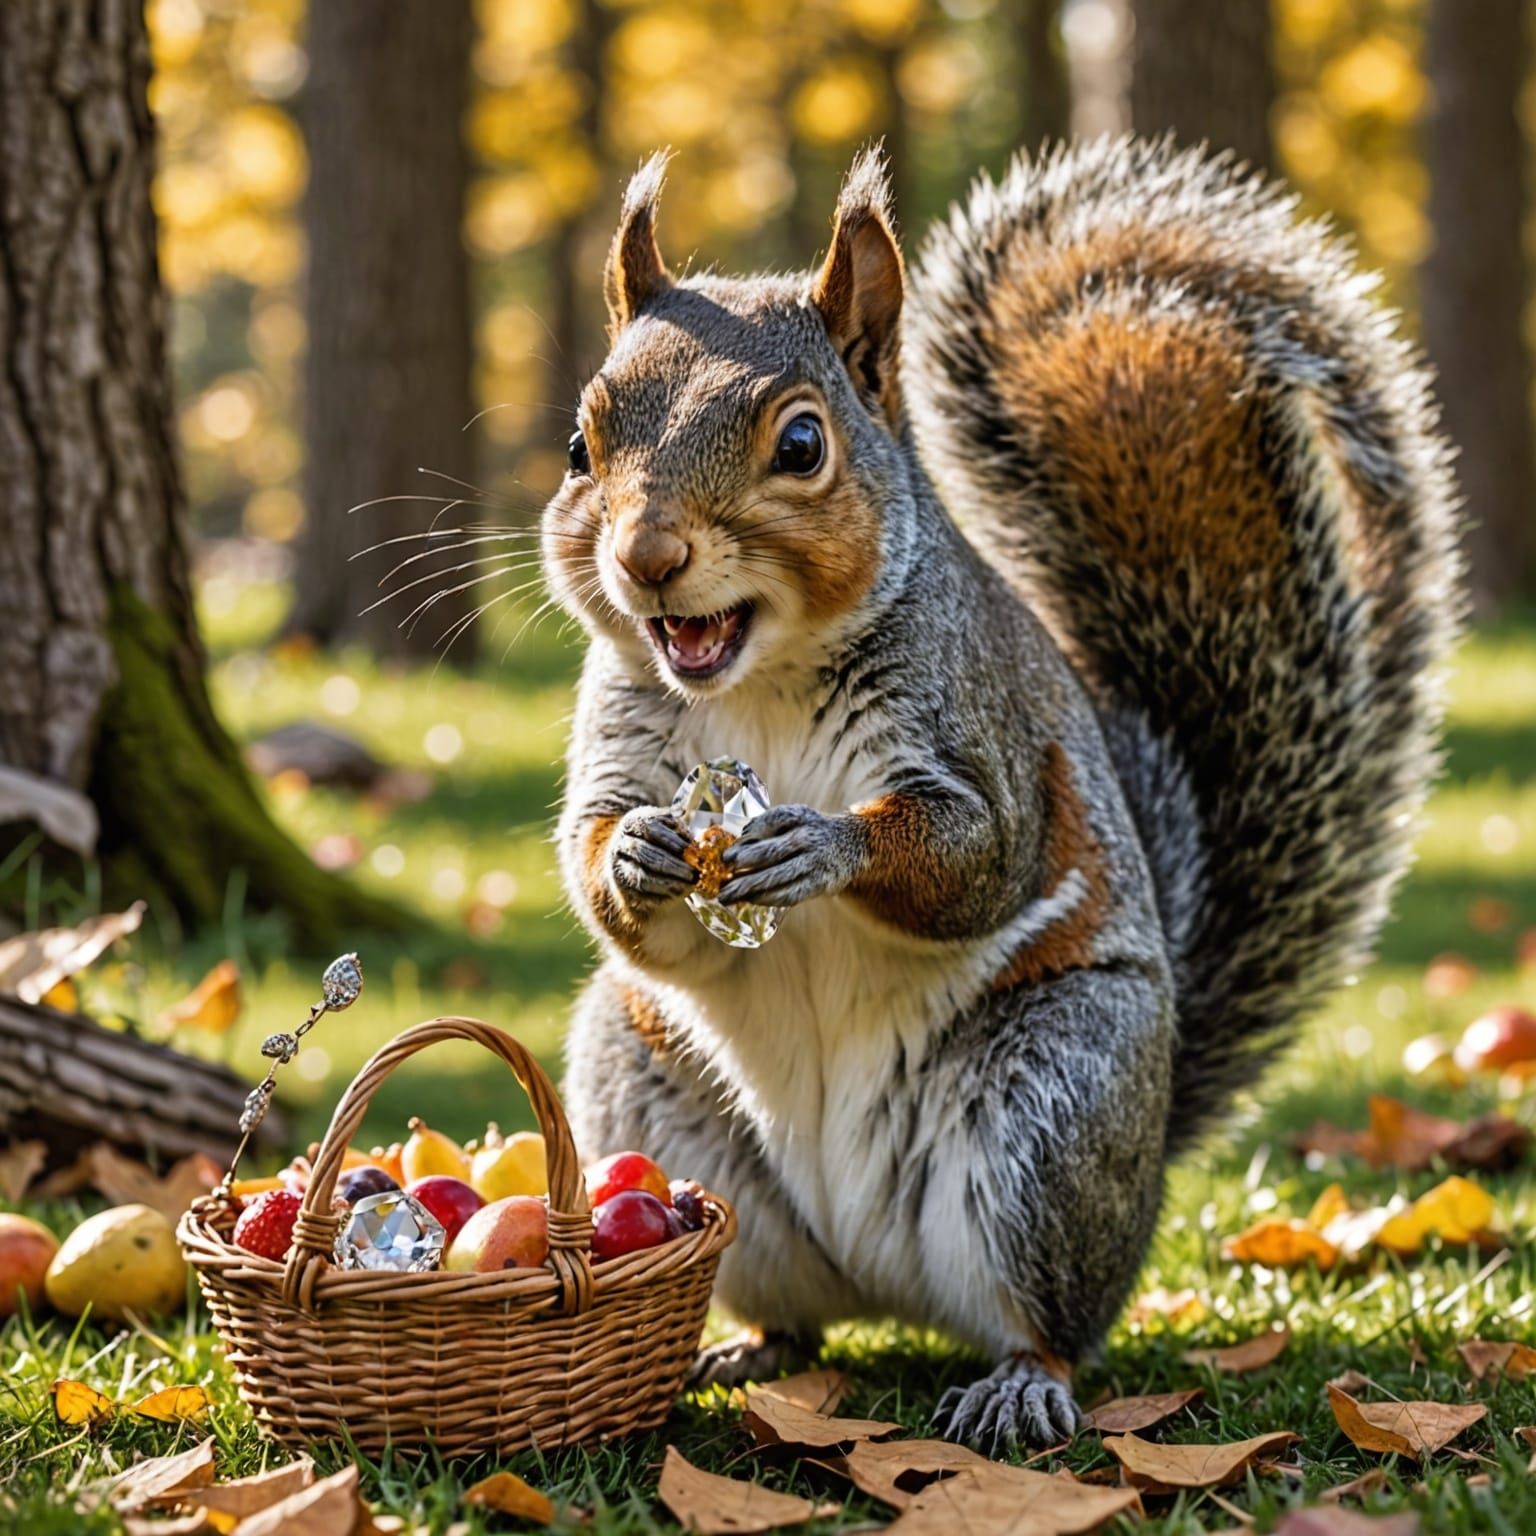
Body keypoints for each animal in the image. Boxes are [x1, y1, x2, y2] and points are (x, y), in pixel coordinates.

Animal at [544, 137, 1462, 1453]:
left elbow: (975, 860)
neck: (761, 675)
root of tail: (882, 1275)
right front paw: (640, 856)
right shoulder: (618, 733)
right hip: (656, 1096)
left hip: (1048, 1114)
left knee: (1051, 1319)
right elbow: (598, 867)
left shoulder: (983, 729)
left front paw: (820, 849)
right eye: (581, 446)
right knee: (792, 1310)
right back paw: (744, 1346)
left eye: (802, 447)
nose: (647, 559)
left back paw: (1022, 1383)